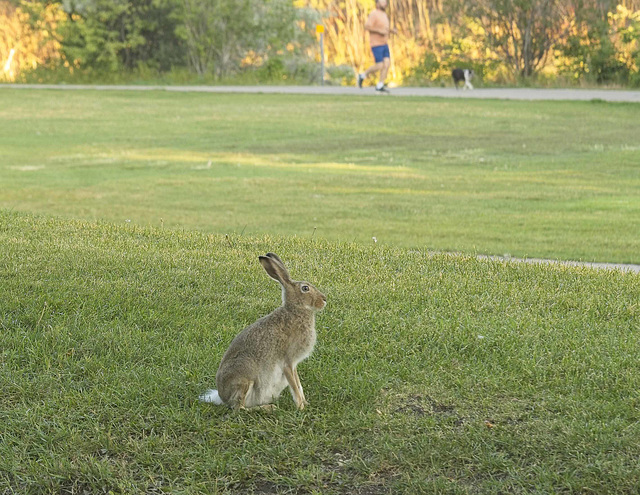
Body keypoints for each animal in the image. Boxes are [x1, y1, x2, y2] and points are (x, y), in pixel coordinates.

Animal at [199, 252, 324, 410]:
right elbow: (294, 386)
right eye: (305, 288)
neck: (295, 310)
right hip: (245, 376)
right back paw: (268, 408)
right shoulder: (287, 362)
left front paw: (306, 403)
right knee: (239, 408)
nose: (324, 300)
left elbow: (298, 384)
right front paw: (301, 407)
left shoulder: (294, 364)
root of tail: (222, 397)